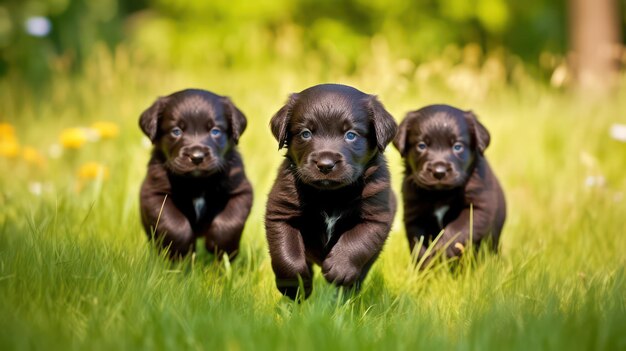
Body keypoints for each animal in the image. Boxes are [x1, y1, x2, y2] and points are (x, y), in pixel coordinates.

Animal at [138, 88, 251, 258]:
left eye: (215, 131)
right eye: (176, 131)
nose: (197, 156)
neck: (198, 183)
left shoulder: (241, 191)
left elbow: (230, 221)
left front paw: (221, 247)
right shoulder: (154, 194)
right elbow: (174, 223)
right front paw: (181, 251)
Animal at [264, 84, 394, 300]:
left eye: (351, 135)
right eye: (305, 133)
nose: (325, 164)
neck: (330, 195)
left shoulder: (376, 216)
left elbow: (357, 240)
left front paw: (340, 267)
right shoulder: (280, 211)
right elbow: (286, 253)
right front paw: (295, 286)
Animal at [392, 104, 504, 270]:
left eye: (457, 147)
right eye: (421, 145)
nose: (439, 172)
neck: (440, 194)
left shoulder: (478, 208)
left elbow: (457, 231)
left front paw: (440, 253)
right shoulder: (414, 214)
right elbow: (418, 244)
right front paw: (426, 268)